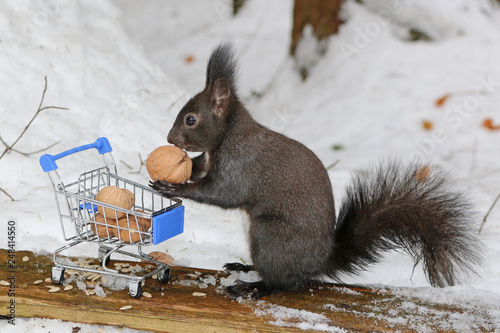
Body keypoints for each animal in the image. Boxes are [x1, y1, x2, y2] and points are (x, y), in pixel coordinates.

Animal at [149, 42, 484, 298]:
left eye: (191, 119)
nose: (169, 139)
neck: (229, 133)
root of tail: (318, 263)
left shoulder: (241, 164)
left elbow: (220, 193)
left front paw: (173, 187)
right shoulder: (210, 159)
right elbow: (199, 169)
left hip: (270, 237)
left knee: (284, 283)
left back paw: (253, 287)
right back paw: (244, 267)